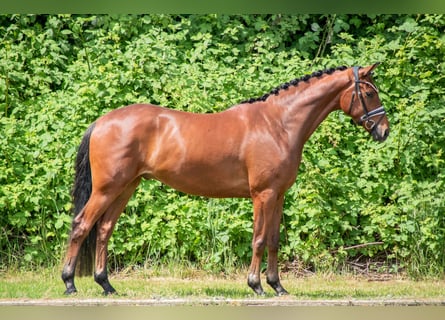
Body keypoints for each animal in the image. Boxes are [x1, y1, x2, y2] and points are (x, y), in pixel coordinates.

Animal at [61, 63, 388, 296]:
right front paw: (256, 285)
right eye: (370, 93)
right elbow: (259, 239)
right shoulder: (262, 194)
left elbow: (273, 240)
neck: (278, 124)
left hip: (126, 187)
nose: (383, 131)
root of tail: (101, 122)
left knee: (104, 230)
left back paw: (106, 285)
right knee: (81, 226)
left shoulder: (278, 194)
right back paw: (69, 283)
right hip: (107, 188)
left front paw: (278, 286)